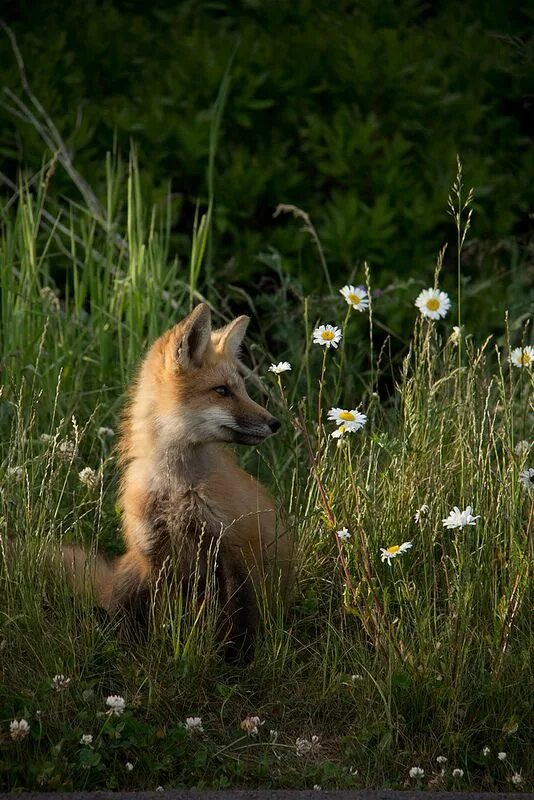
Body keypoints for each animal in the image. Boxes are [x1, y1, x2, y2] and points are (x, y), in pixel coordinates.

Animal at [62, 304, 294, 660]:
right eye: (222, 391)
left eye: (242, 389)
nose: (275, 423)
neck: (177, 492)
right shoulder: (157, 554)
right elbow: (166, 619)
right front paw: (166, 651)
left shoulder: (235, 551)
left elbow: (239, 619)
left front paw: (234, 661)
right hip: (131, 575)